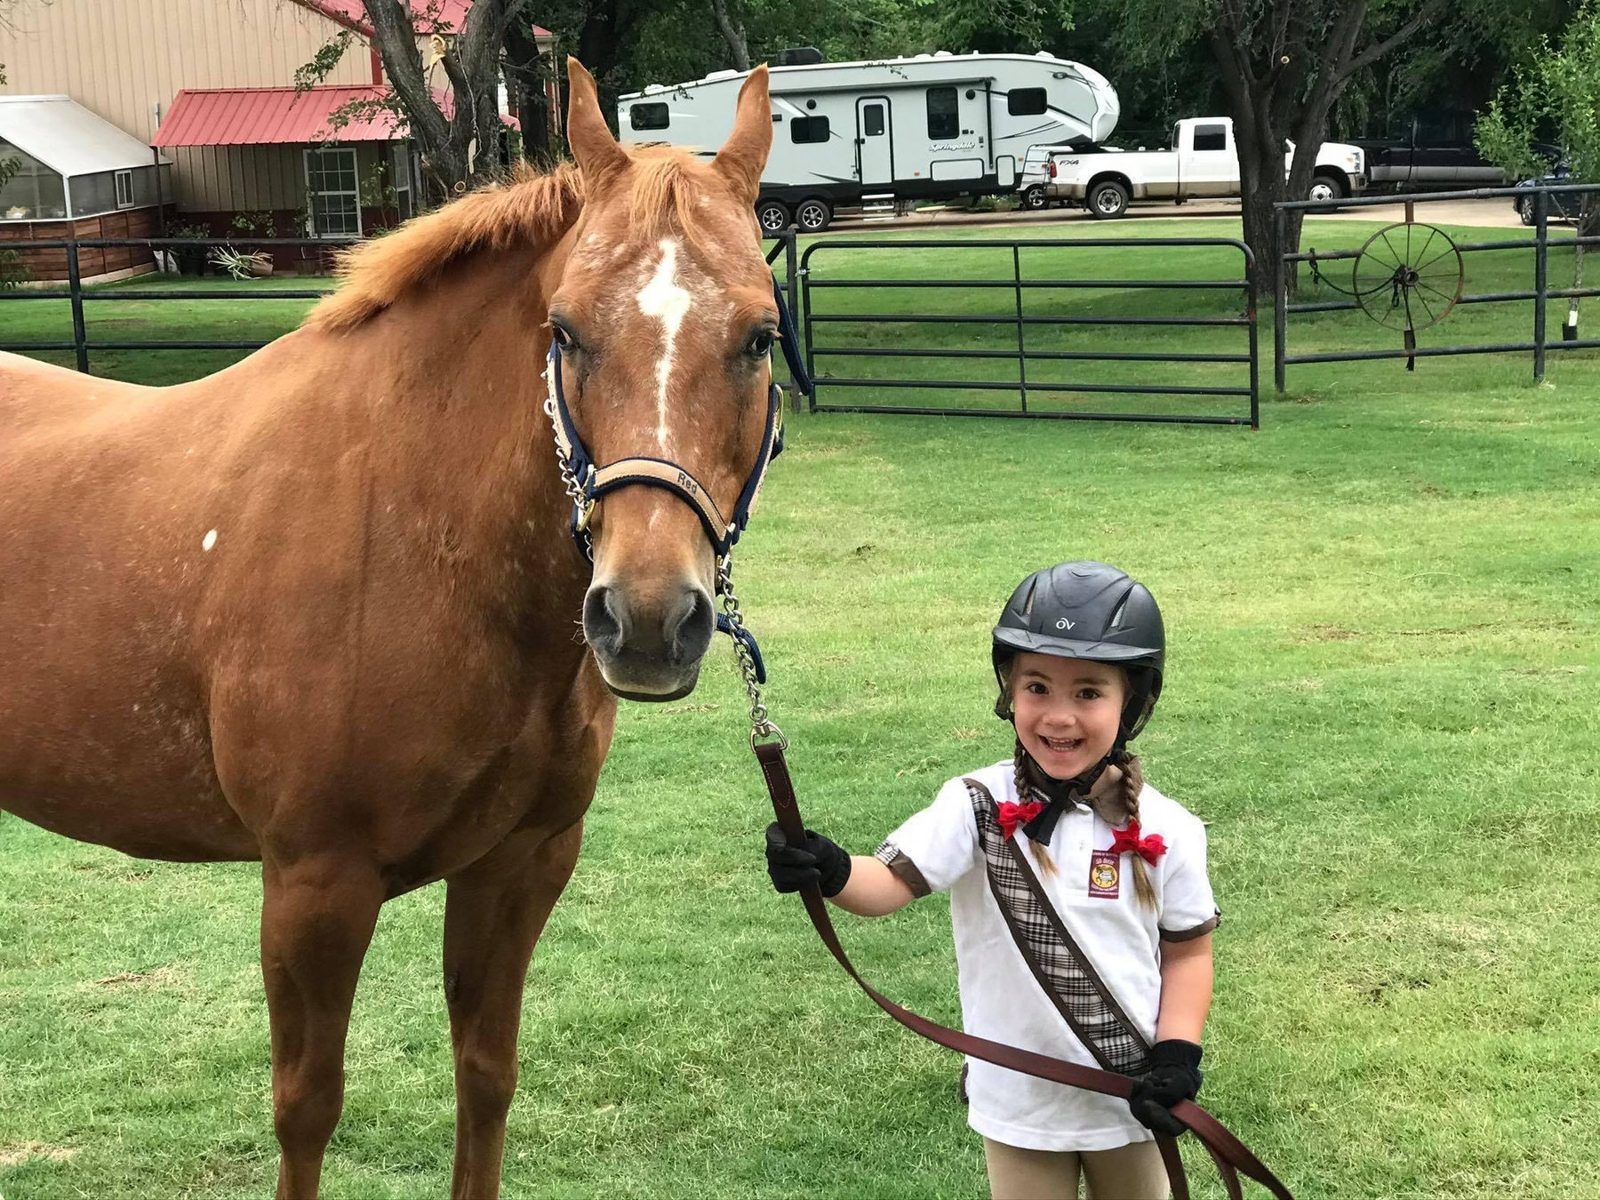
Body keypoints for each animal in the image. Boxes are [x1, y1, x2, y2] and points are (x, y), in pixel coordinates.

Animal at [0, 59, 780, 1199]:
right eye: (564, 330)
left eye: (759, 336)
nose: (644, 618)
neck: (412, 525)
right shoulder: (313, 886)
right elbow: (306, 1110)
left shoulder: (520, 865)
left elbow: (486, 1078)